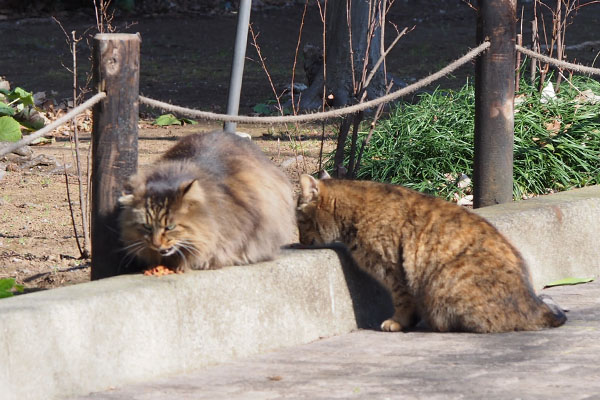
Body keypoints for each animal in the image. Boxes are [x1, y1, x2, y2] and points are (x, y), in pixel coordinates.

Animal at [296, 173, 568, 332]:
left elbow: (403, 299)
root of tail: (536, 306)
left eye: (298, 221)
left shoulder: (394, 270)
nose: (298, 241)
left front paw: (399, 321)